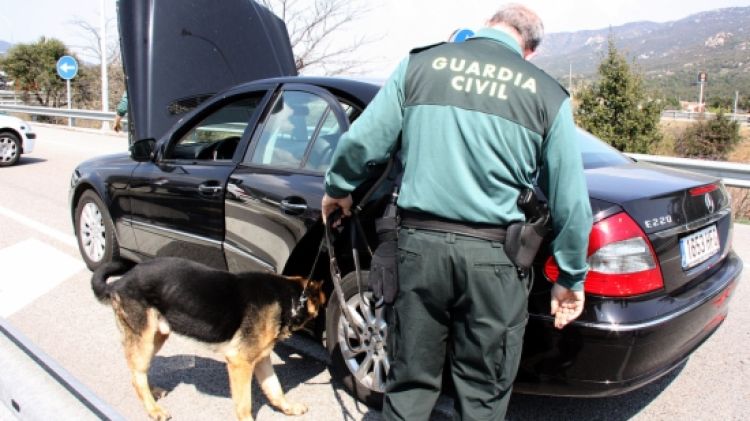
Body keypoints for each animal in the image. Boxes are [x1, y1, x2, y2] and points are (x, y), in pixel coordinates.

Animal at [91, 256, 326, 420]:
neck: (290, 299)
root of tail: (119, 282)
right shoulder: (240, 363)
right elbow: (244, 404)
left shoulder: (260, 359)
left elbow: (275, 389)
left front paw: (289, 408)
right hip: (145, 339)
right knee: (136, 375)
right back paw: (154, 409)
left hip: (157, 336)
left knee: (138, 370)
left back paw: (153, 391)